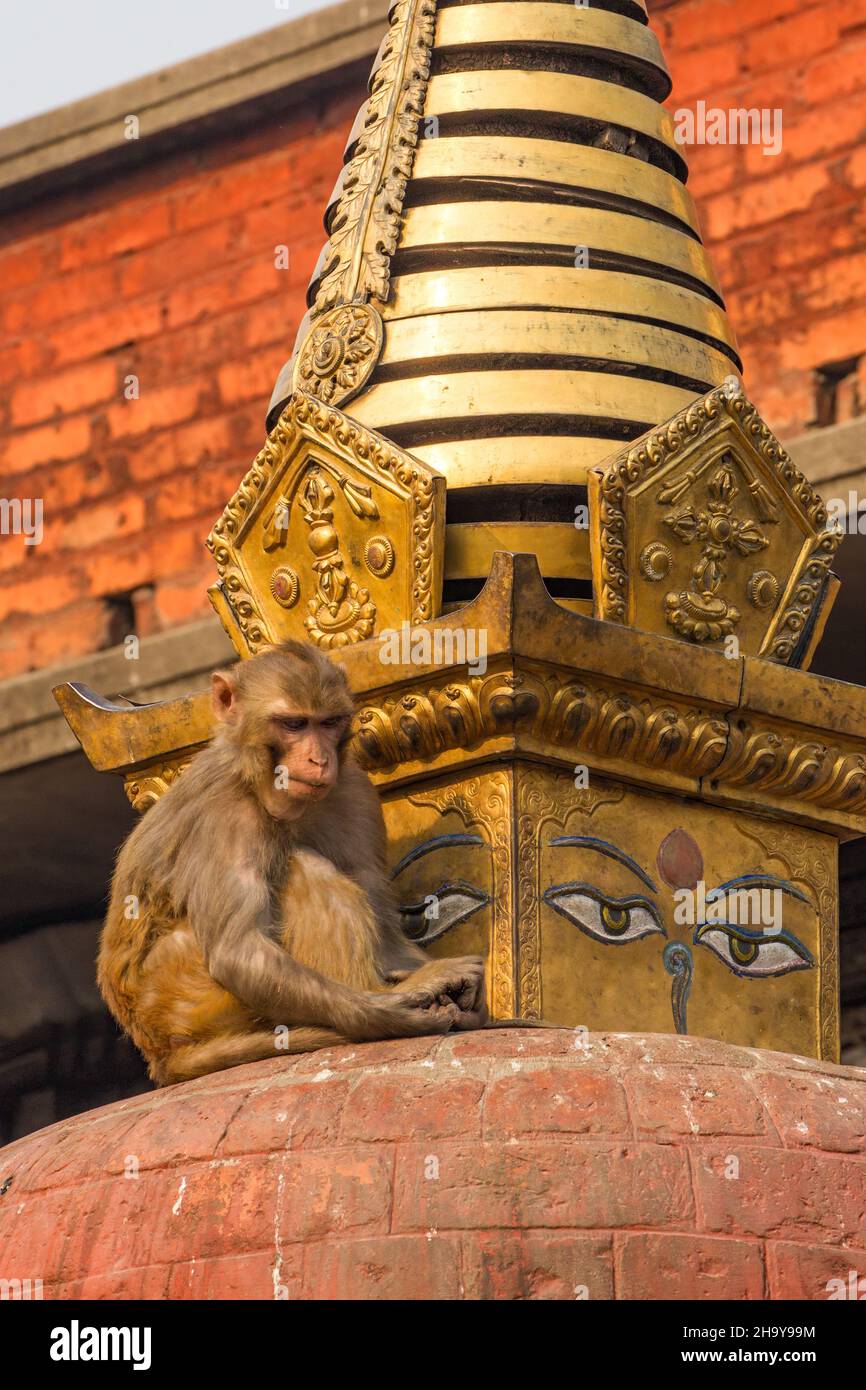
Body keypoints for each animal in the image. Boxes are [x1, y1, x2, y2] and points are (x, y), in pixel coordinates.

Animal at [101, 639, 489, 1084]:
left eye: (328, 722)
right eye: (293, 724)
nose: (319, 760)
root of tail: (156, 1048)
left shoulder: (355, 790)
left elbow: (387, 932)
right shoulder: (226, 814)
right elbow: (237, 951)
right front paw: (387, 1012)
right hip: (183, 992)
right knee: (302, 869)